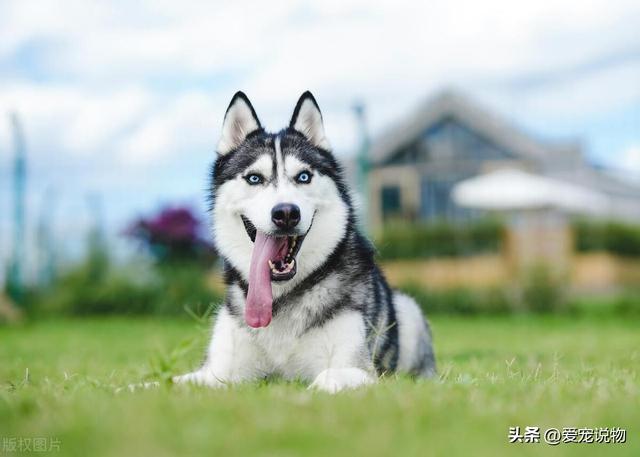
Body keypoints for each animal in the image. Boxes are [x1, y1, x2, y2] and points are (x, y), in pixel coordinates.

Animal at [174, 90, 436, 392]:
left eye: (303, 176)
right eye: (254, 178)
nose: (286, 213)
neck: (279, 298)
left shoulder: (360, 369)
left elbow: (325, 378)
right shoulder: (217, 372)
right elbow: (168, 382)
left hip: (408, 309)